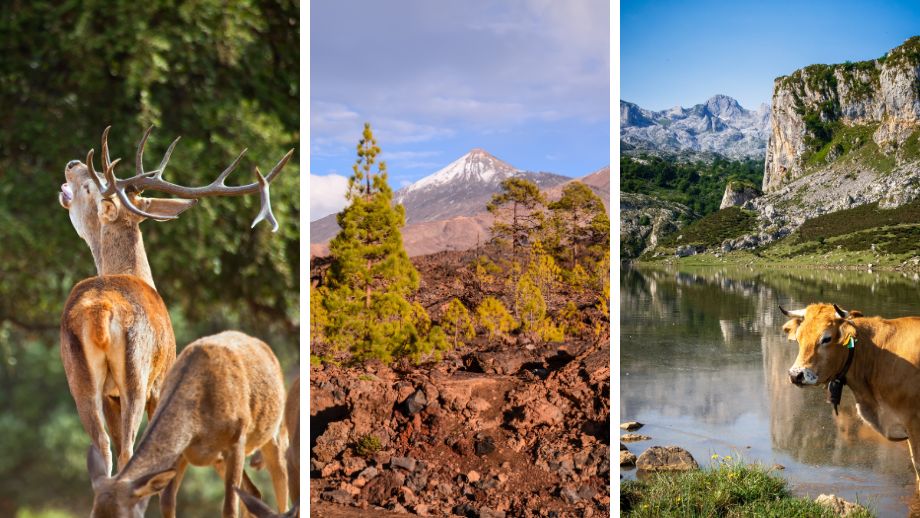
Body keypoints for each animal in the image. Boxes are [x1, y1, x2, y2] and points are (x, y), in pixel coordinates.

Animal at [60, 128, 292, 478]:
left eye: (90, 186)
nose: (72, 164)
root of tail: (100, 313)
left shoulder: (144, 385)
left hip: (93, 380)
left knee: (108, 450)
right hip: (128, 377)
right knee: (125, 452)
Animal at [86, 334, 290, 518]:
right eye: (92, 515)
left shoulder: (237, 438)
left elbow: (229, 509)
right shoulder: (181, 451)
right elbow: (166, 502)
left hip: (272, 431)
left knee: (281, 479)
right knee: (253, 492)